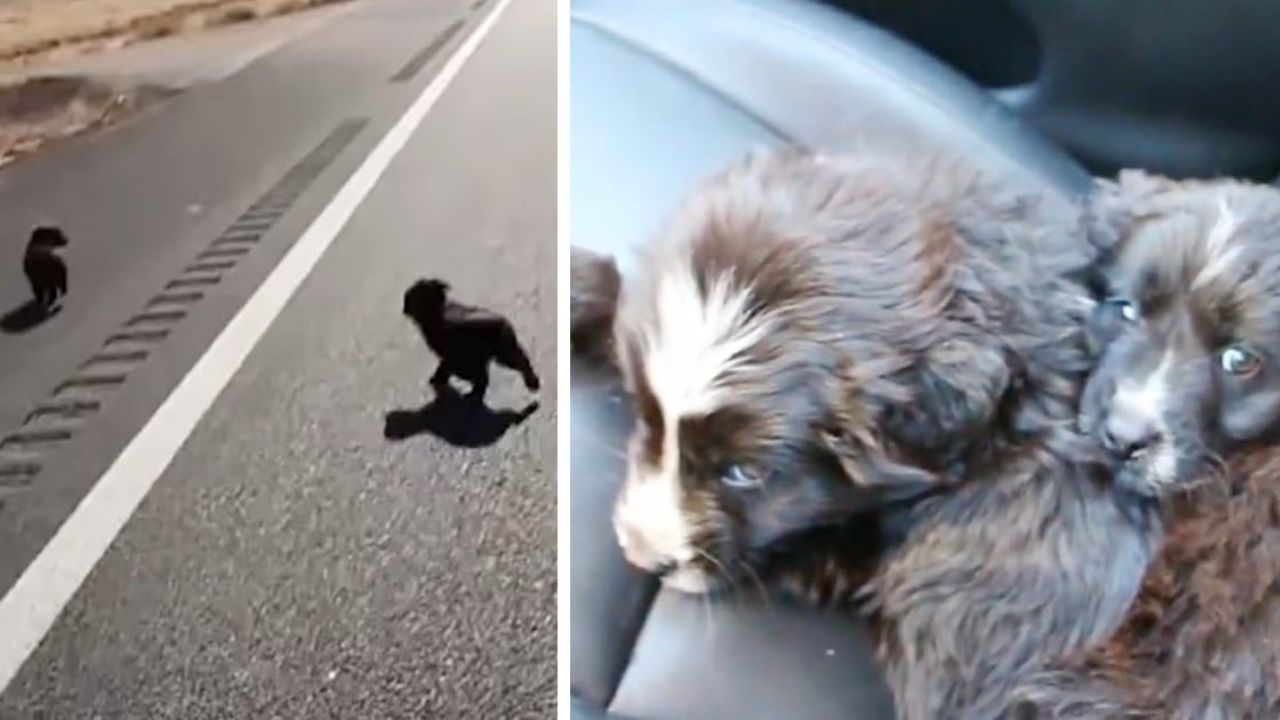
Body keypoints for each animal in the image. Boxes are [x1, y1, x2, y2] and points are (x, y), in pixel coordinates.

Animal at [401, 278, 537, 397]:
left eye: (409, 298)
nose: (404, 309)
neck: (437, 312)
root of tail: (503, 322)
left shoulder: (453, 354)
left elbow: (451, 367)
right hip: (504, 349)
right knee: (519, 358)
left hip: (503, 353)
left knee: (520, 362)